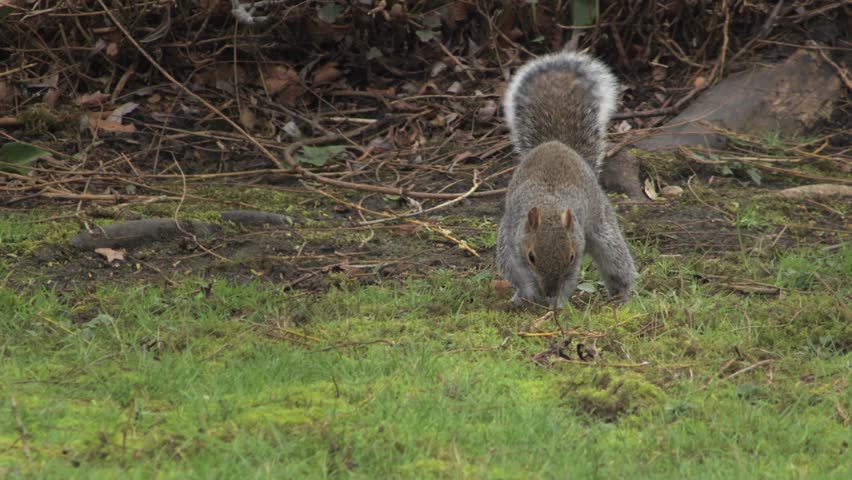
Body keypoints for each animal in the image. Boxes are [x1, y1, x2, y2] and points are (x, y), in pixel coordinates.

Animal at [496, 51, 637, 308]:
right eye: (532, 256)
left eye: (570, 256)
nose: (549, 291)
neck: (550, 205)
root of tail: (556, 143)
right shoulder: (515, 245)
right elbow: (524, 276)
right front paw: (533, 293)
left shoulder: (577, 244)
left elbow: (570, 280)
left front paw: (558, 303)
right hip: (503, 248)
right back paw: (519, 297)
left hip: (605, 233)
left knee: (616, 264)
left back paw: (621, 294)